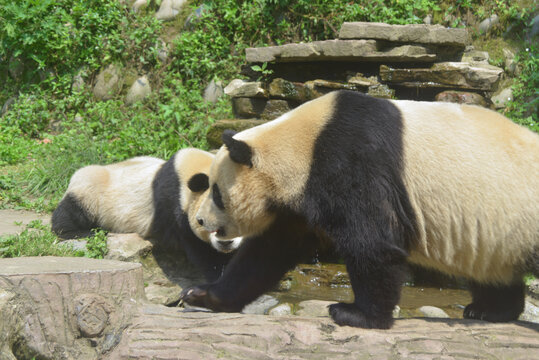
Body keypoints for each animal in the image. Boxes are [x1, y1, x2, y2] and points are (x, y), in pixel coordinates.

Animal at [52, 148, 243, 280]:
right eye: (205, 221)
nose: (226, 243)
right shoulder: (174, 202)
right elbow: (203, 252)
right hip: (94, 187)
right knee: (74, 208)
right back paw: (81, 232)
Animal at [181, 90, 539, 330]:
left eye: (216, 192)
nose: (200, 220)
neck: (301, 143)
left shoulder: (353, 161)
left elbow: (373, 243)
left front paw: (355, 314)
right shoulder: (297, 202)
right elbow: (265, 254)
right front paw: (202, 295)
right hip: (495, 232)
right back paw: (488, 310)